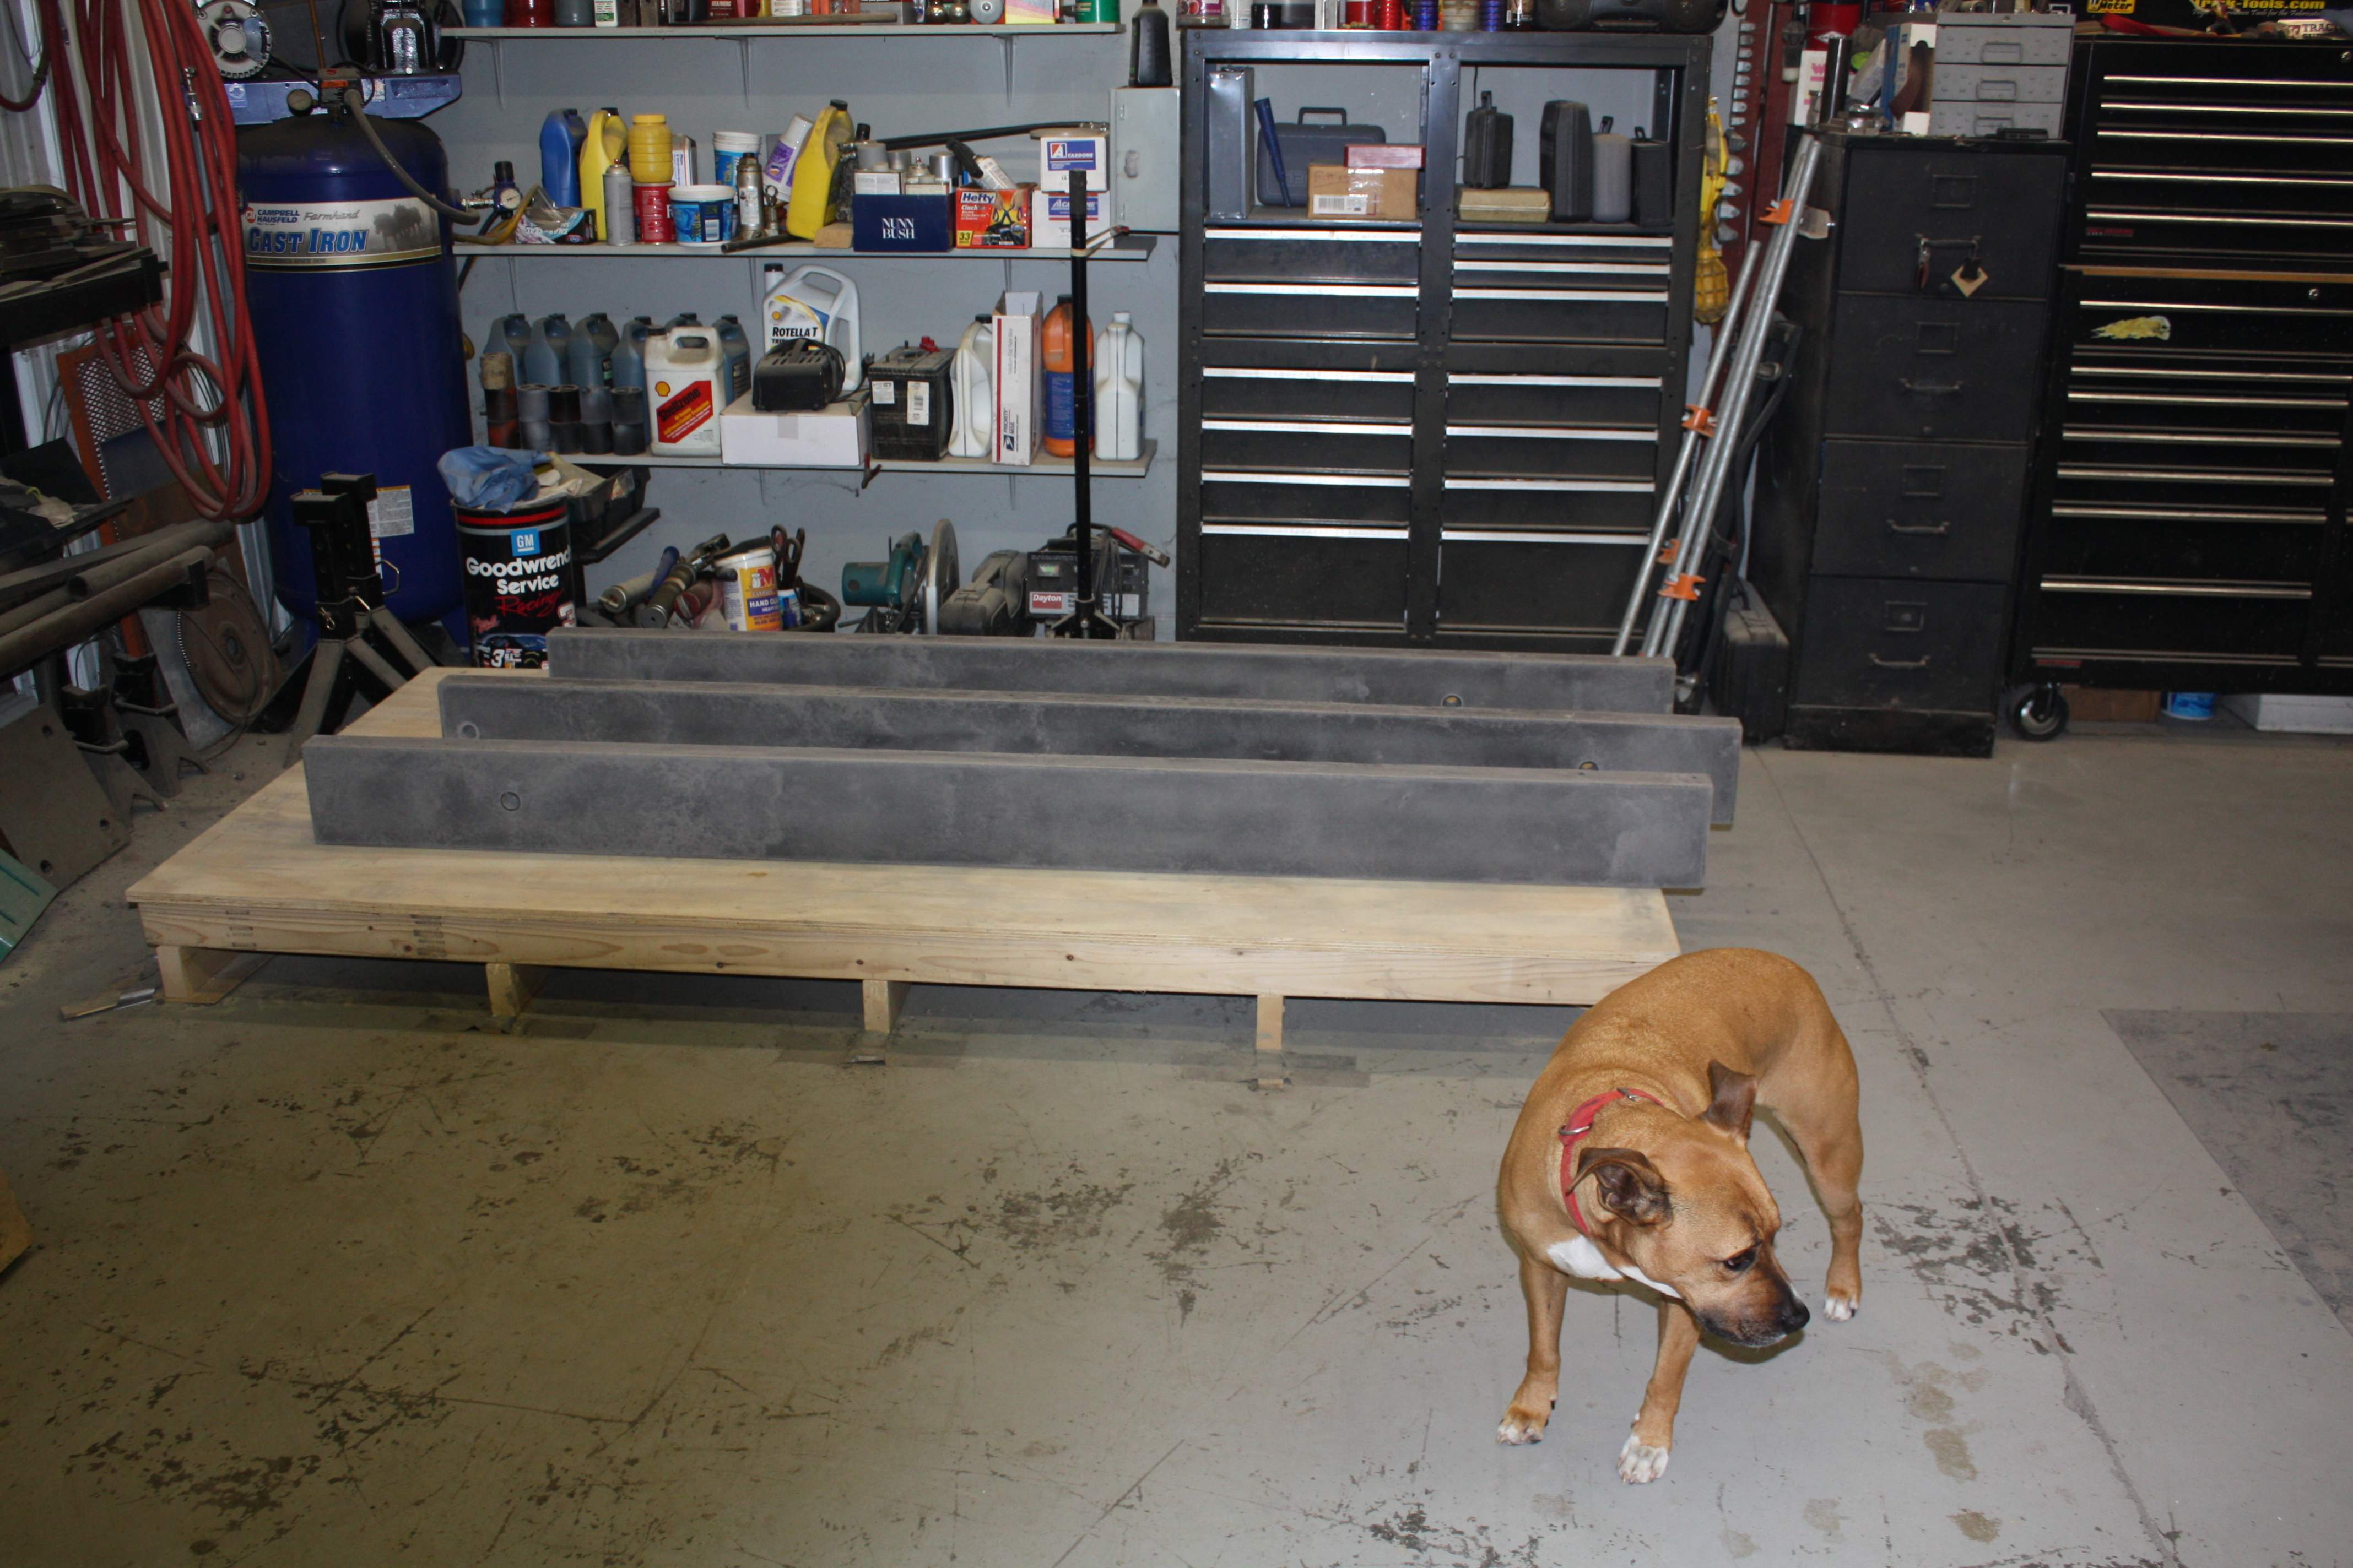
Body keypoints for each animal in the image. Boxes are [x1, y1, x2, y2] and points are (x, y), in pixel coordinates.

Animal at [1494, 947, 1863, 1483]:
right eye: (1737, 1259)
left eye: (1776, 1236)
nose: (1799, 1316)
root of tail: (1781, 961)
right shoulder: (1540, 1266)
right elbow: (1543, 1348)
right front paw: (1531, 1407)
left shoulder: (1685, 1302)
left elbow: (1665, 1378)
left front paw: (1649, 1442)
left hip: (1827, 1152)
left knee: (1850, 1217)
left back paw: (1843, 1287)